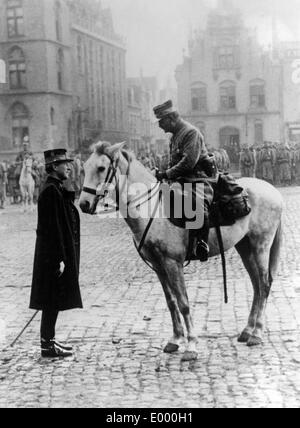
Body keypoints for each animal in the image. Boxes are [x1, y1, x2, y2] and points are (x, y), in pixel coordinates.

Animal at [79, 143, 284, 362]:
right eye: (85, 167)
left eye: (101, 168)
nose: (83, 204)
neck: (153, 209)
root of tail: (272, 190)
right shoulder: (159, 266)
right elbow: (171, 302)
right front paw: (175, 340)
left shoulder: (172, 263)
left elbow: (183, 302)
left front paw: (191, 346)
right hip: (245, 247)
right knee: (256, 286)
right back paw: (247, 330)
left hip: (261, 245)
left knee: (264, 284)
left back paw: (257, 333)